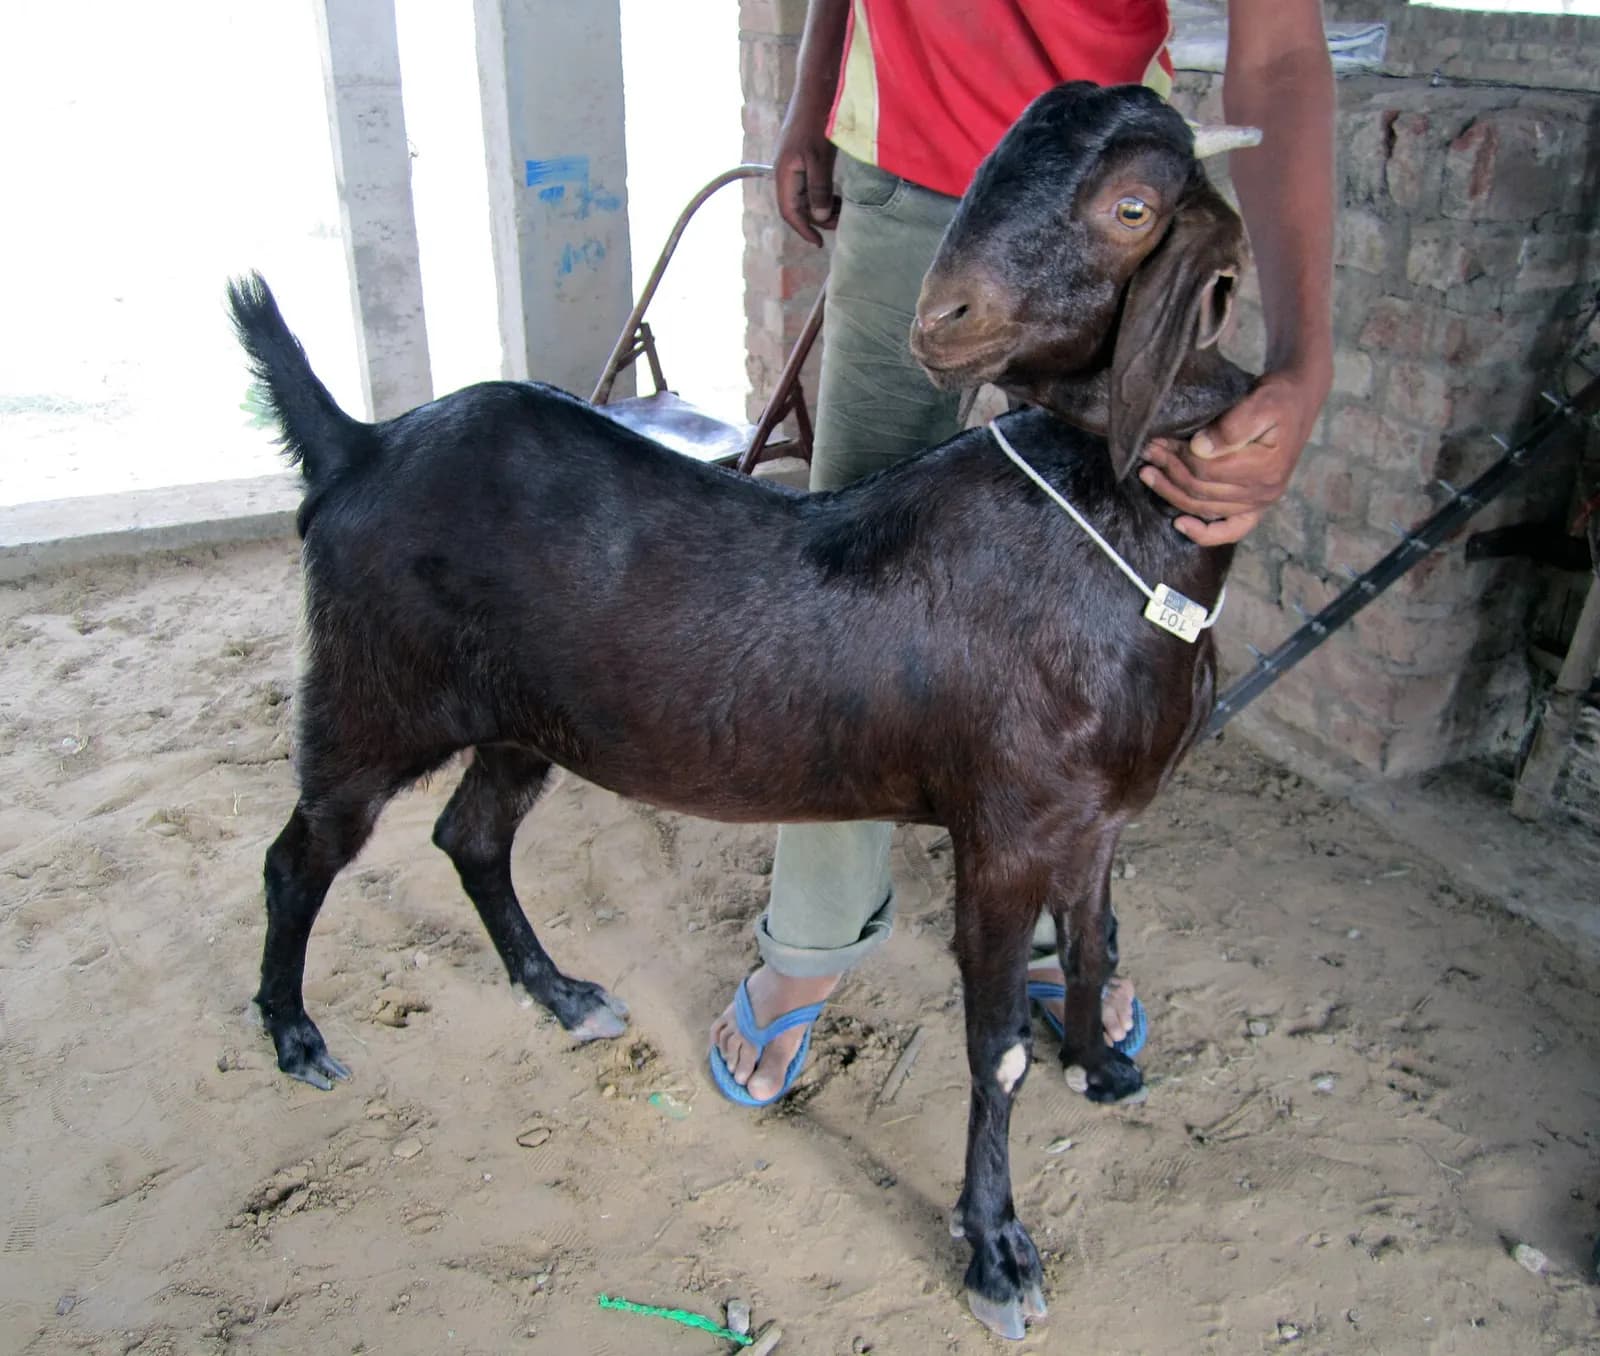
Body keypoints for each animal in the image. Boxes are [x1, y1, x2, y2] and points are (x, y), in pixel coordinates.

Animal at [229, 81, 1258, 1340]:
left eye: (1131, 207)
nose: (945, 320)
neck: (1109, 527)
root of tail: (360, 445)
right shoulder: (1006, 832)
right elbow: (996, 1047)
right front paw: (998, 1254)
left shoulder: (1095, 818)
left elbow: (1098, 939)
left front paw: (1100, 1068)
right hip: (366, 698)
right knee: (299, 855)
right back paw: (294, 1033)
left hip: (525, 723)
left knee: (468, 837)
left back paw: (560, 994)